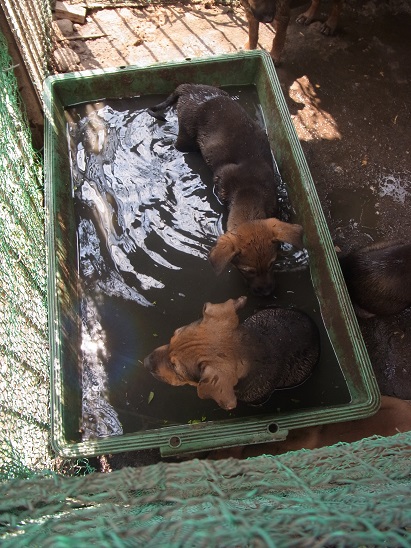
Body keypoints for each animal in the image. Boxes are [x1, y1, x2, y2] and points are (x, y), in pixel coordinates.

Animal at [150, 82, 304, 296]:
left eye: (273, 264)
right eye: (247, 271)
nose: (266, 293)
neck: (249, 191)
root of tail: (188, 87)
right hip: (186, 137)